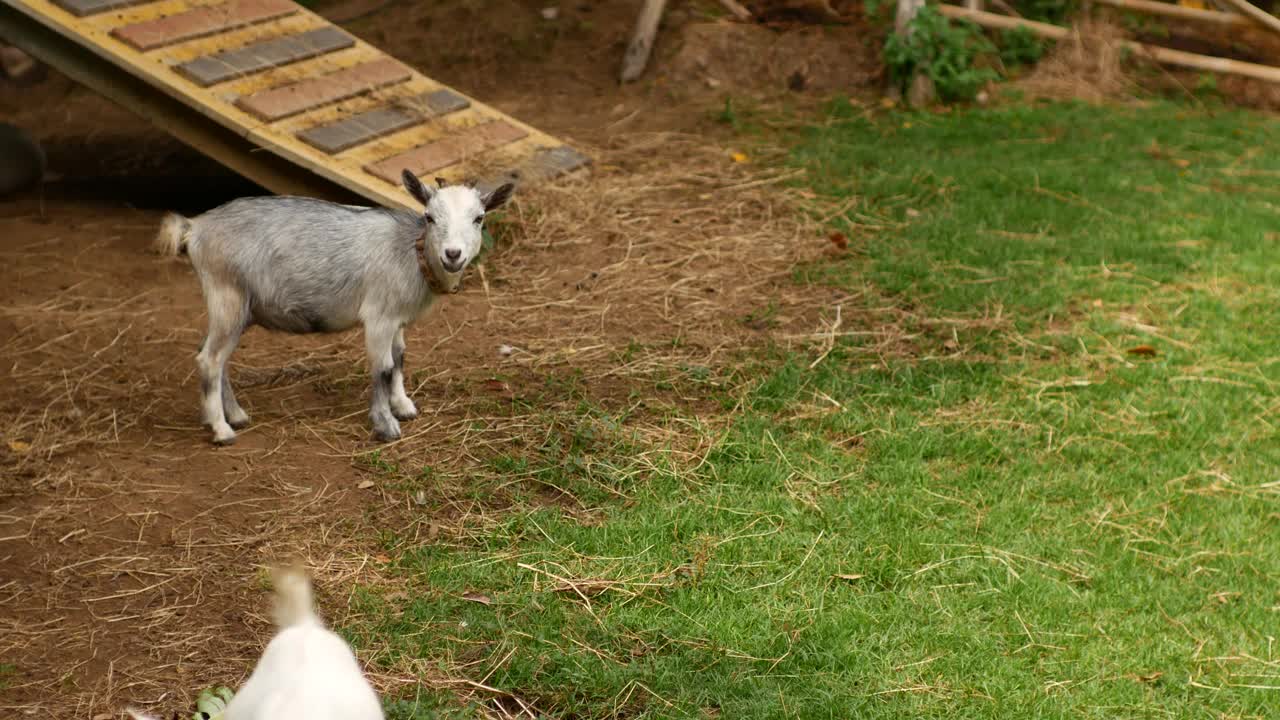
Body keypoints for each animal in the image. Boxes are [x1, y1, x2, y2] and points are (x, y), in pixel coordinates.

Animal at [149, 170, 509, 445]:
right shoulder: (378, 316)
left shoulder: (397, 320)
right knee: (209, 359)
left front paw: (403, 406)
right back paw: (222, 430)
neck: (411, 252)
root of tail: (195, 227)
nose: (453, 254)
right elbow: (383, 368)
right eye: (429, 217)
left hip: (237, 307)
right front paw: (386, 425)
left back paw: (235, 415)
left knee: (214, 355)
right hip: (227, 295)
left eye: (479, 218)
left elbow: (400, 359)